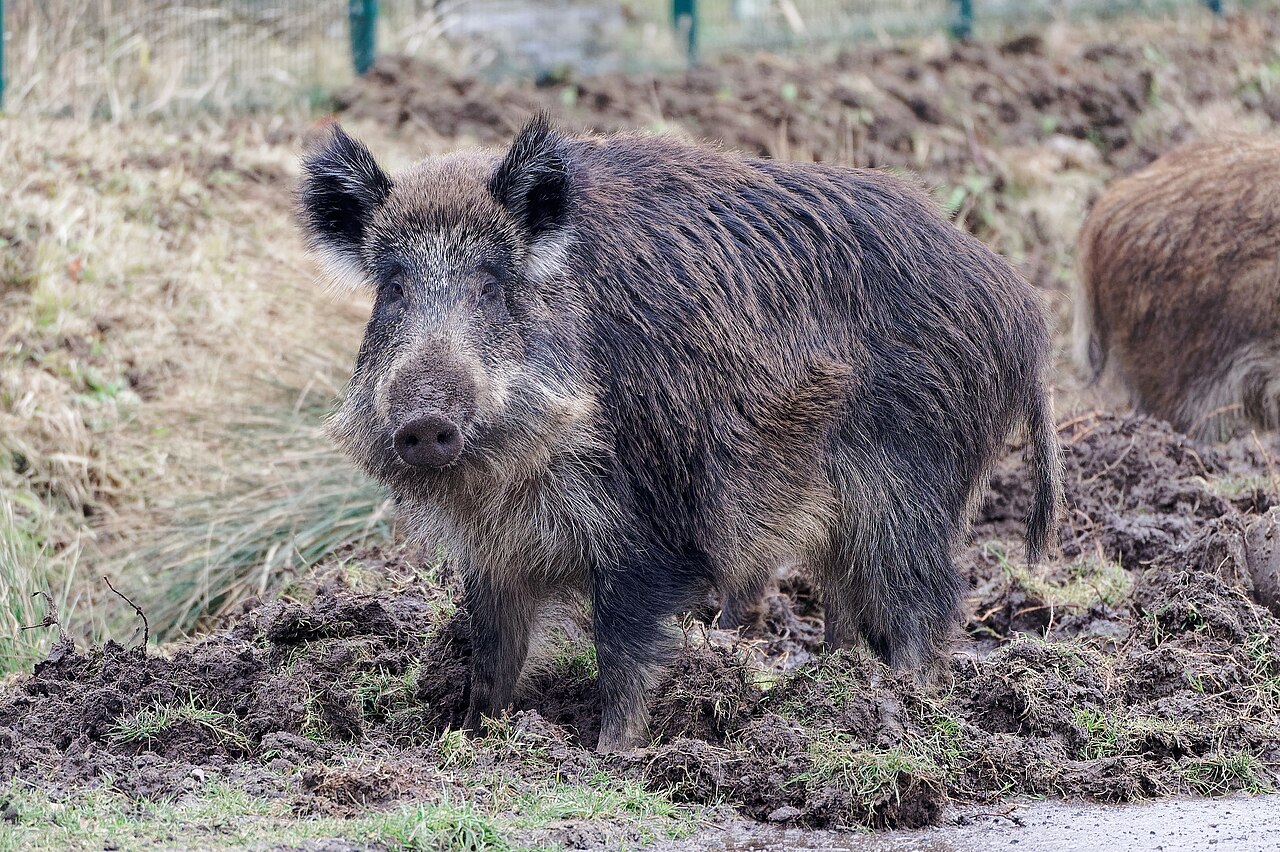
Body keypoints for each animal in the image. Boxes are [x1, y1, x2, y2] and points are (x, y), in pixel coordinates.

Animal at [297, 114, 1062, 753]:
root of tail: (1019, 305)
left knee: (928, 599)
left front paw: (608, 756)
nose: (426, 422)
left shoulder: (646, 526)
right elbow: (493, 650)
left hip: (910, 481)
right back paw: (839, 689)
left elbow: (625, 651)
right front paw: (473, 736)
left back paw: (909, 705)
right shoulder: (494, 553)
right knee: (853, 601)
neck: (511, 474)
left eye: (492, 284)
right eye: (393, 289)